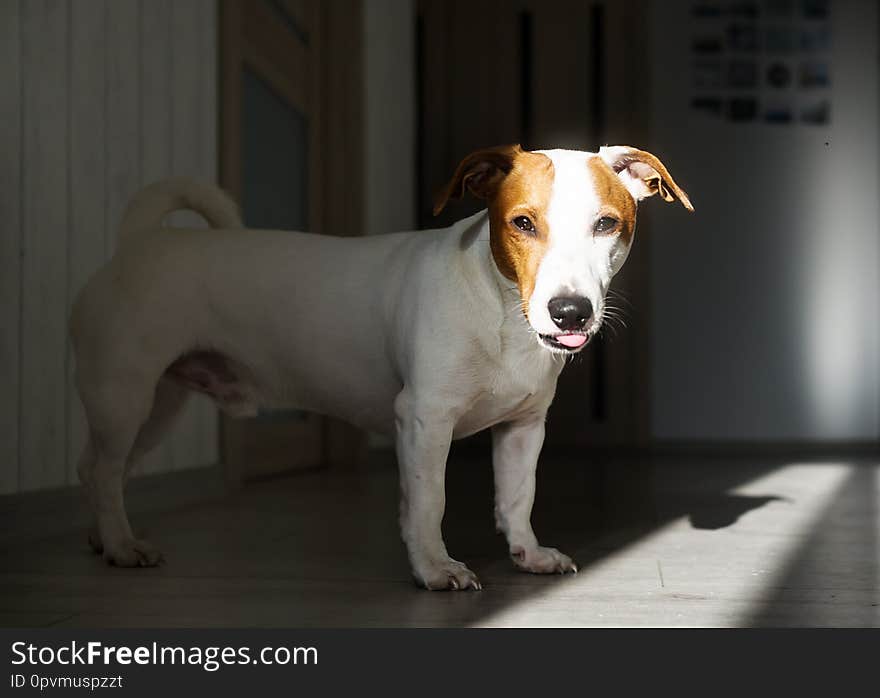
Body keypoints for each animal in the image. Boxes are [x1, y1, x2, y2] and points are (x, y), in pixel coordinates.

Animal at [69, 145, 692, 588]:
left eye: (607, 225)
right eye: (522, 224)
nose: (570, 311)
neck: (499, 312)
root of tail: (139, 243)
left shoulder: (524, 427)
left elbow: (517, 497)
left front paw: (527, 553)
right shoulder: (423, 421)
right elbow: (428, 503)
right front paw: (434, 569)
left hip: (156, 409)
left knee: (100, 472)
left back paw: (106, 539)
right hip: (125, 395)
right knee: (102, 469)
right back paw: (122, 545)